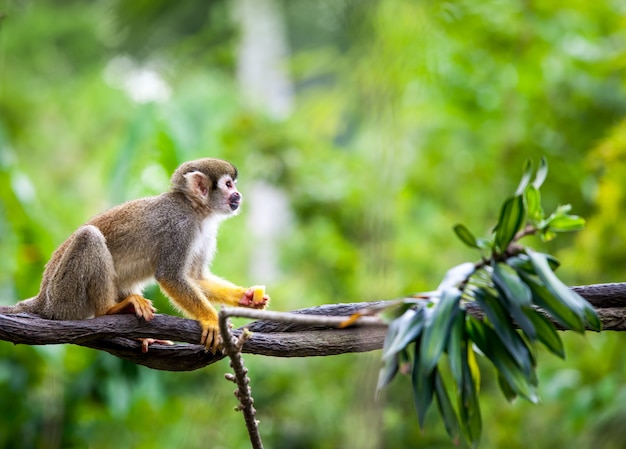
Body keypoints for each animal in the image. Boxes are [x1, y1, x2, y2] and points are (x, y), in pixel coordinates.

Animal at [4, 159, 268, 352]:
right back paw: (111, 310)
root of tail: (42, 298)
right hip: (63, 297)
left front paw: (246, 297)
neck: (195, 211)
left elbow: (196, 277)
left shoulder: (206, 231)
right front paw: (212, 320)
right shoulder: (179, 227)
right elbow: (171, 276)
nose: (238, 195)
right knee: (89, 236)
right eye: (229, 185)